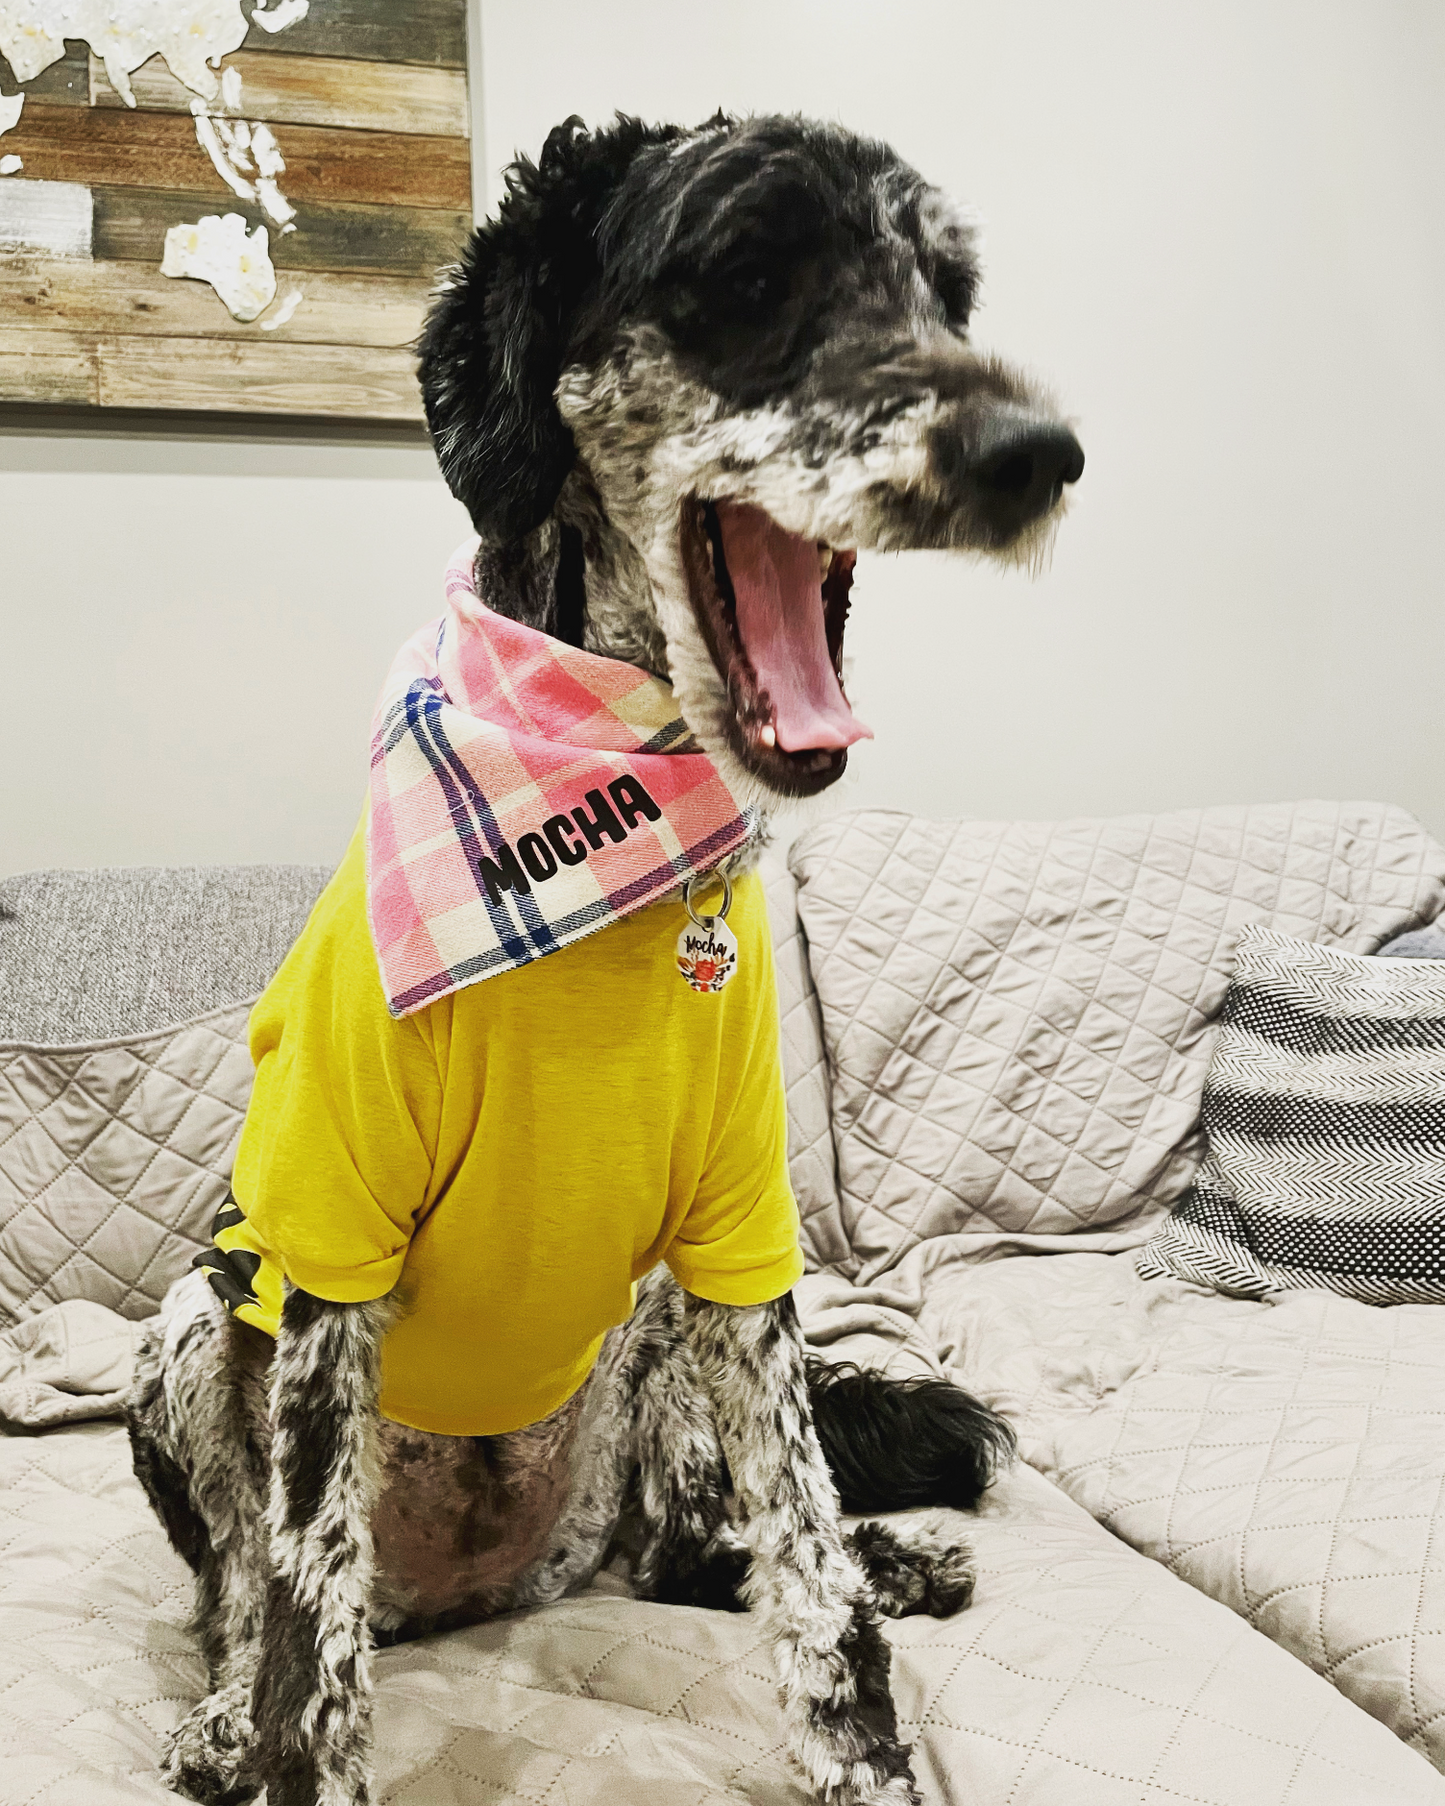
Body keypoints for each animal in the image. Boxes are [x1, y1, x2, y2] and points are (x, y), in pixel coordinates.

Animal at [127, 112, 1083, 1806]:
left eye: (947, 290)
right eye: (747, 270)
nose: (1036, 452)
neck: (599, 857)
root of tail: (480, 1588)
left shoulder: (746, 1256)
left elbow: (810, 1569)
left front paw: (868, 1723)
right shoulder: (323, 1264)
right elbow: (304, 1625)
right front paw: (282, 1732)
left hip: (650, 1343)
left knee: (701, 1548)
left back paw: (892, 1556)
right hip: (191, 1324)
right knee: (244, 1595)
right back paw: (226, 1714)